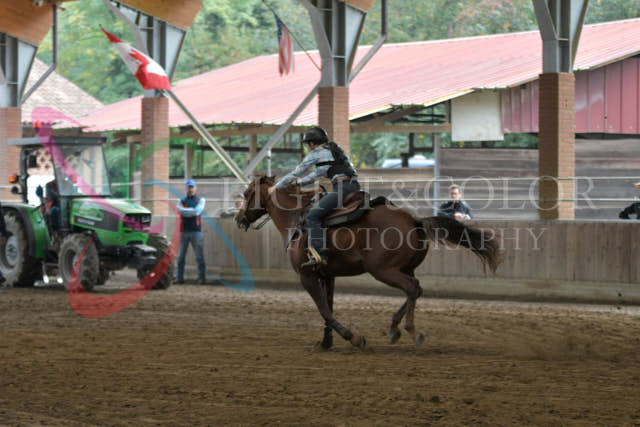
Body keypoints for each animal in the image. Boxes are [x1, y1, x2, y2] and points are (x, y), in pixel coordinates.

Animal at [235, 176, 502, 351]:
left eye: (247, 194)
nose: (238, 218)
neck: (295, 219)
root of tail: (414, 220)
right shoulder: (327, 274)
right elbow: (328, 307)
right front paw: (326, 343)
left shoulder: (307, 276)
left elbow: (324, 309)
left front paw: (353, 338)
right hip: (402, 268)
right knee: (416, 288)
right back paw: (394, 328)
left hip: (383, 270)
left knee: (411, 288)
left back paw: (412, 331)